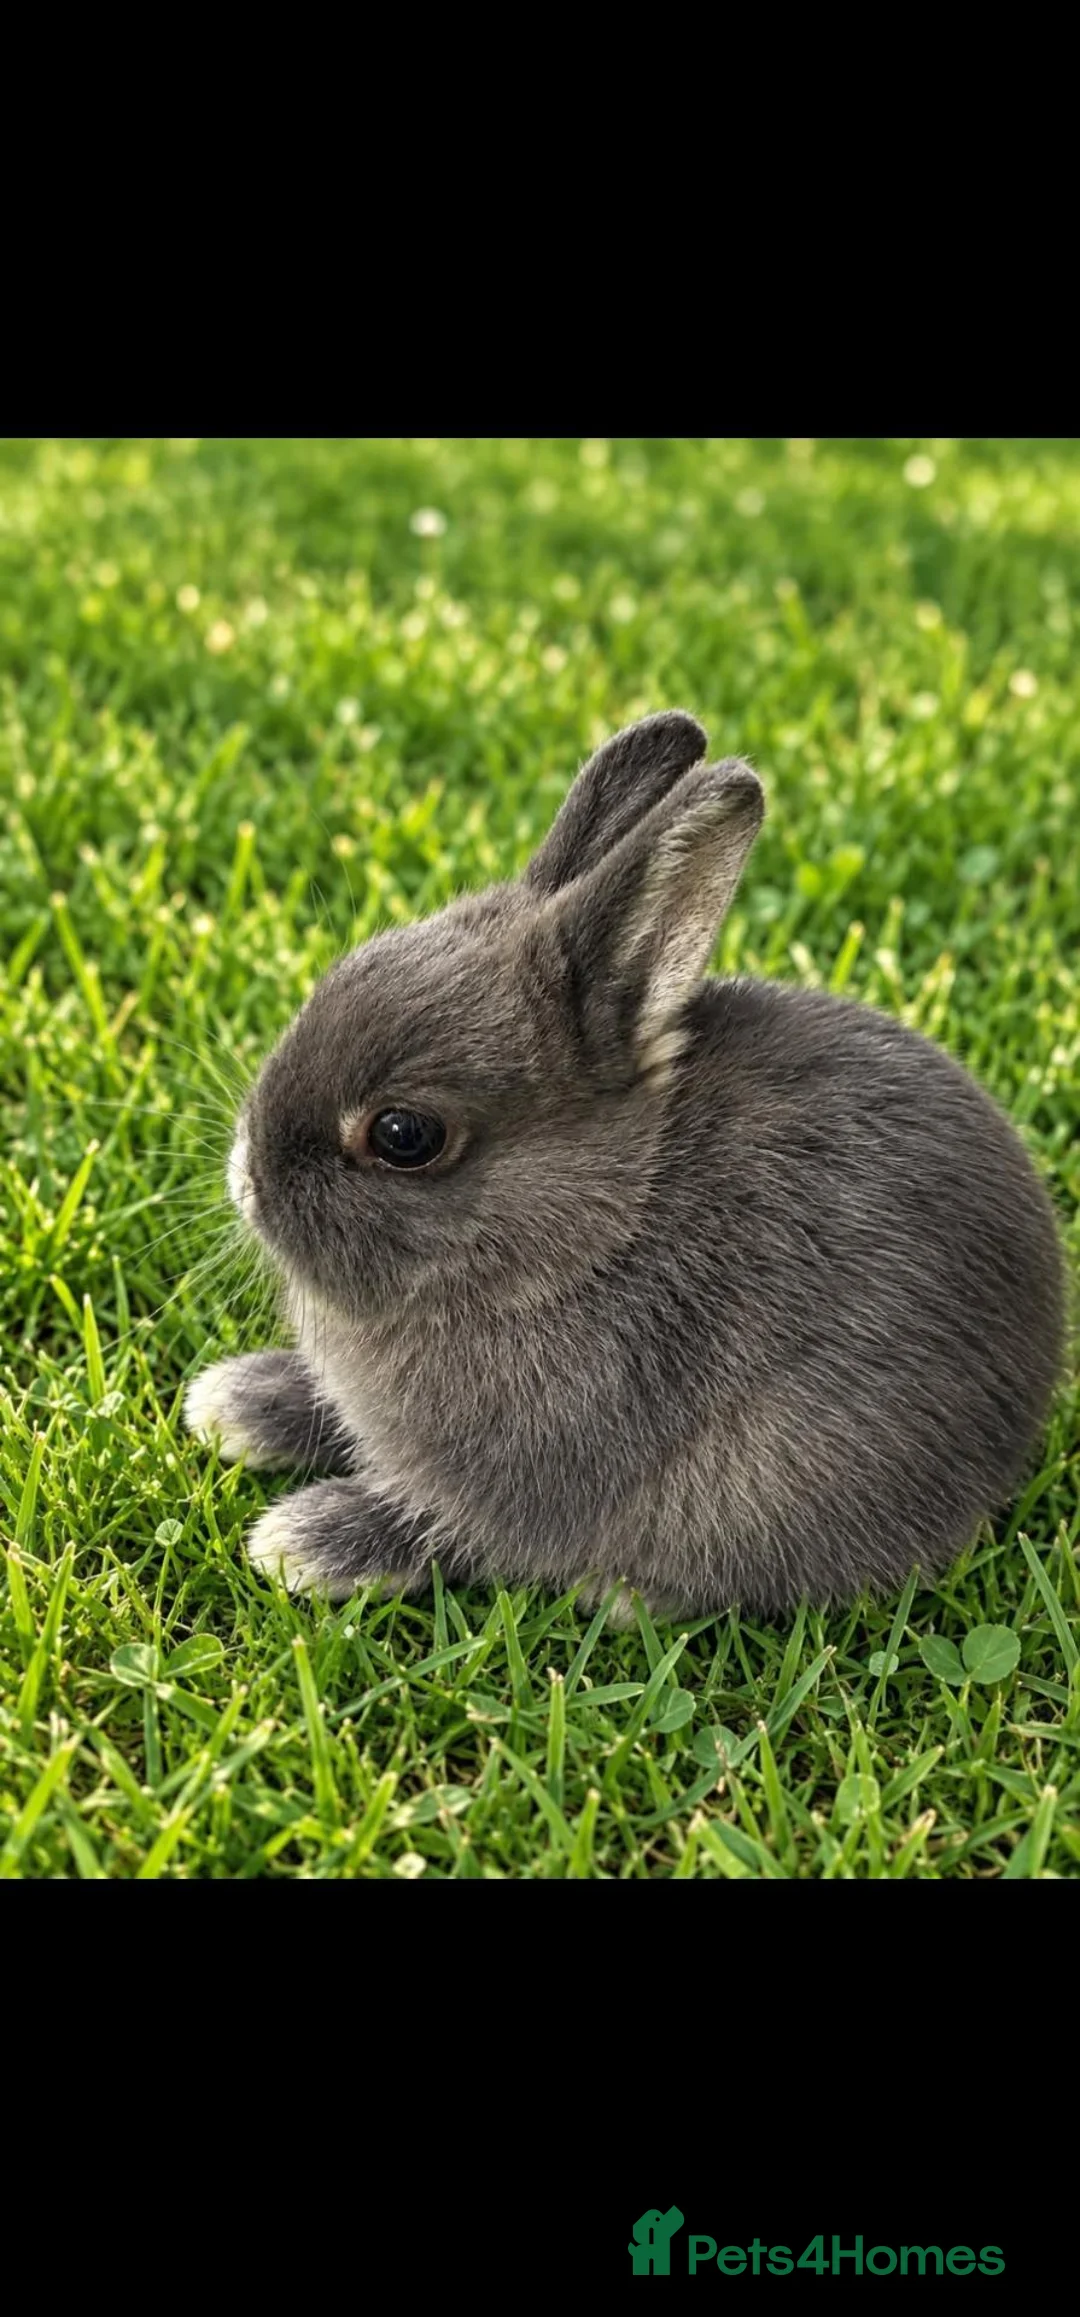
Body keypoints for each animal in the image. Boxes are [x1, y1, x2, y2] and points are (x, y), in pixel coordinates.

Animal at [184, 710, 1067, 1619]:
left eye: (403, 1135)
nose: (245, 1177)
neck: (597, 1238)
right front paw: (241, 1404)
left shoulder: (524, 1475)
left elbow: (447, 1528)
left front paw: (308, 1542)